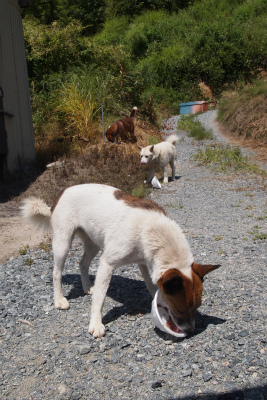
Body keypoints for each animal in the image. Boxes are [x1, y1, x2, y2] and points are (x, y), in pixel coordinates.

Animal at [21, 184, 221, 338]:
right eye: (180, 310)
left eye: (197, 307)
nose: (191, 331)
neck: (152, 230)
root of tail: (63, 191)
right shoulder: (107, 263)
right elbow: (100, 298)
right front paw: (96, 323)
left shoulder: (145, 262)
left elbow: (153, 287)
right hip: (63, 242)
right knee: (56, 272)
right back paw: (59, 300)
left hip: (93, 243)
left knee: (83, 263)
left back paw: (87, 287)